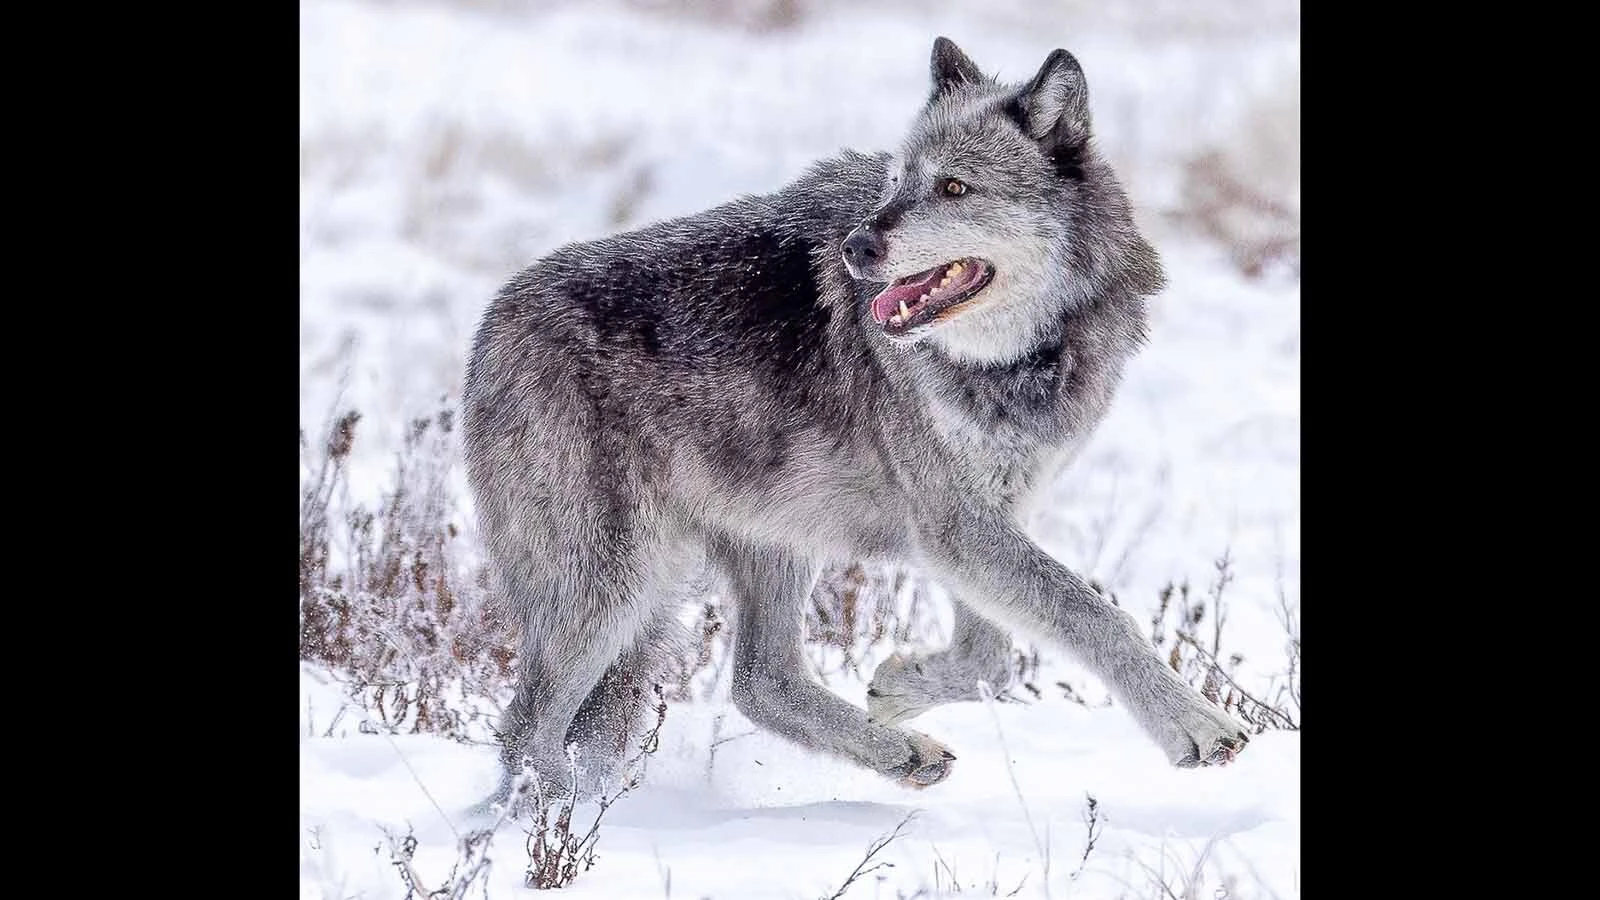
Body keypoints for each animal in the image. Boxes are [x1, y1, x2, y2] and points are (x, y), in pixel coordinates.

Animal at [462, 37, 1249, 808]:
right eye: (897, 182)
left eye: (954, 188)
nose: (857, 247)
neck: (1017, 361)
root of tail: (488, 327)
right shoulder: (957, 528)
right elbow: (1094, 616)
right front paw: (1197, 724)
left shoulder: (980, 525)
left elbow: (992, 658)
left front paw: (899, 687)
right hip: (612, 592)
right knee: (526, 727)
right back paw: (552, 823)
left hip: (764, 546)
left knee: (761, 684)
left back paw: (901, 754)